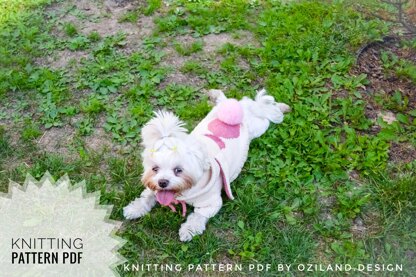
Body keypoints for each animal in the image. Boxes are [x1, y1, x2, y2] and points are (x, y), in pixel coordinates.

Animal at [123, 88, 290, 239]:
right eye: (155, 169)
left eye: (178, 170)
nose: (162, 182)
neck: (184, 192)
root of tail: (240, 107)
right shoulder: (154, 188)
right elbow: (147, 196)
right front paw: (135, 208)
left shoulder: (211, 203)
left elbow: (198, 216)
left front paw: (189, 230)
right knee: (231, 99)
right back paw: (215, 94)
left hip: (258, 126)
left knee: (265, 109)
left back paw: (280, 107)